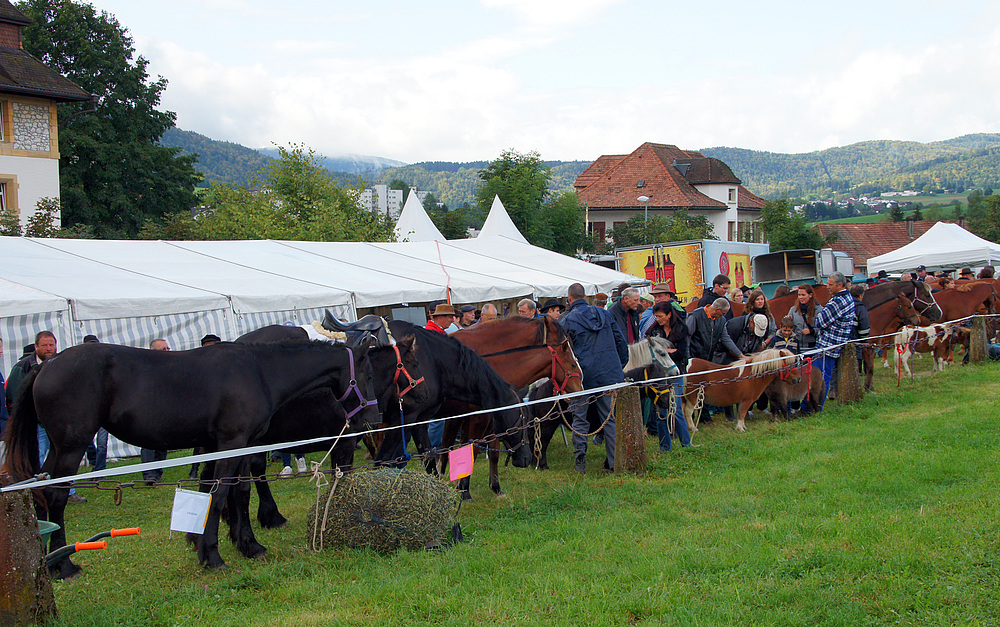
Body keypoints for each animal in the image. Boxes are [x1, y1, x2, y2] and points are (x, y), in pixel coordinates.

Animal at [2, 338, 378, 580]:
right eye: (369, 375)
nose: (371, 418)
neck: (260, 372)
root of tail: (48, 364)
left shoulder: (237, 446)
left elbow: (235, 493)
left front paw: (247, 545)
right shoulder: (231, 443)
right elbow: (220, 494)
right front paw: (212, 556)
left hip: (58, 448)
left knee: (42, 491)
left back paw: (49, 563)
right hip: (71, 446)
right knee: (56, 496)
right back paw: (64, 566)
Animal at [376, 322, 536, 474]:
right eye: (523, 419)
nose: (527, 458)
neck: (433, 363)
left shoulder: (421, 419)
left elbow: (430, 460)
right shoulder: (403, 419)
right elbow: (381, 460)